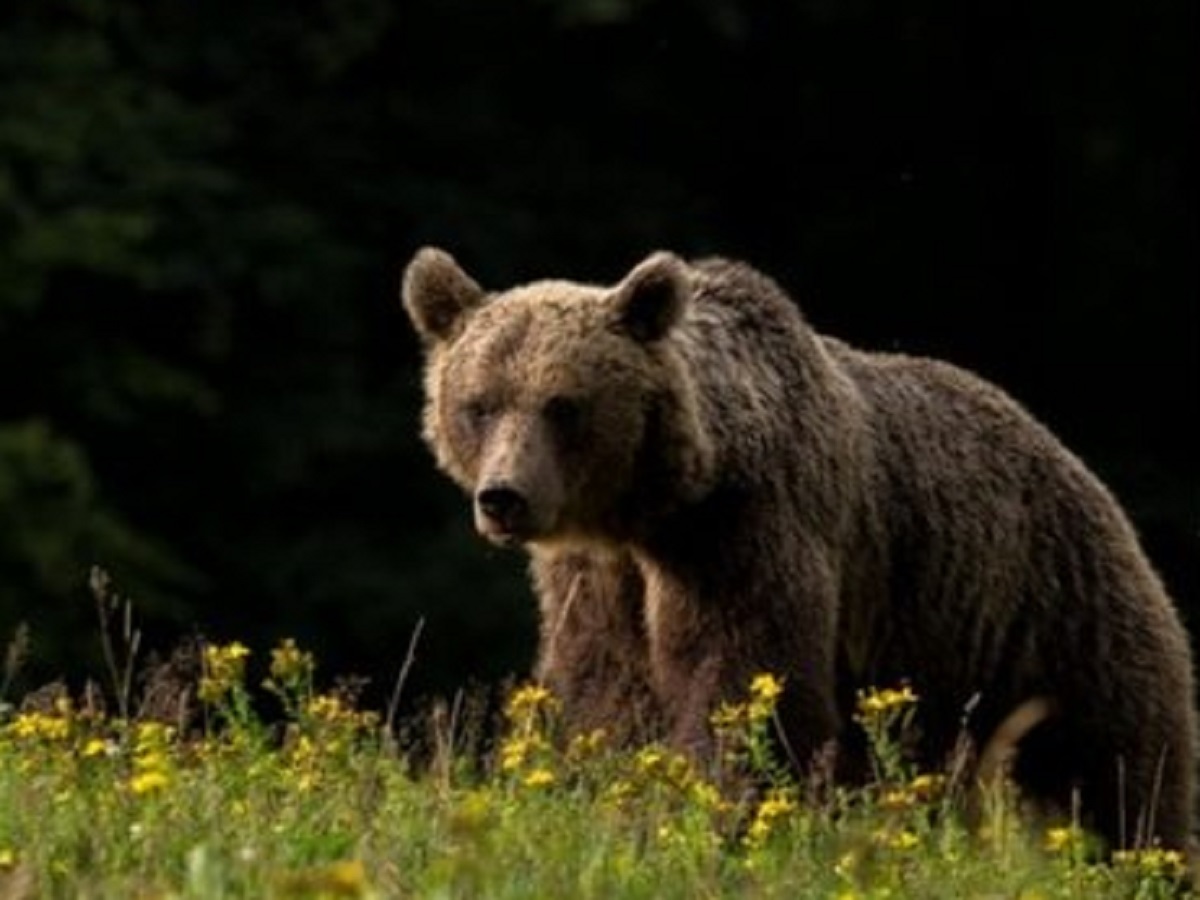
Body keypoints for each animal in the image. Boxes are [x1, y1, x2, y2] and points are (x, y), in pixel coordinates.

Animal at [403, 247, 1200, 854]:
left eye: (563, 404)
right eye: (479, 402)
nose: (503, 497)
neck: (658, 509)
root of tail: (1077, 465)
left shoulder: (749, 535)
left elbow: (746, 683)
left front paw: (726, 815)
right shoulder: (600, 580)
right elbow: (609, 695)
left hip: (1048, 616)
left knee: (1116, 769)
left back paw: (1134, 855)